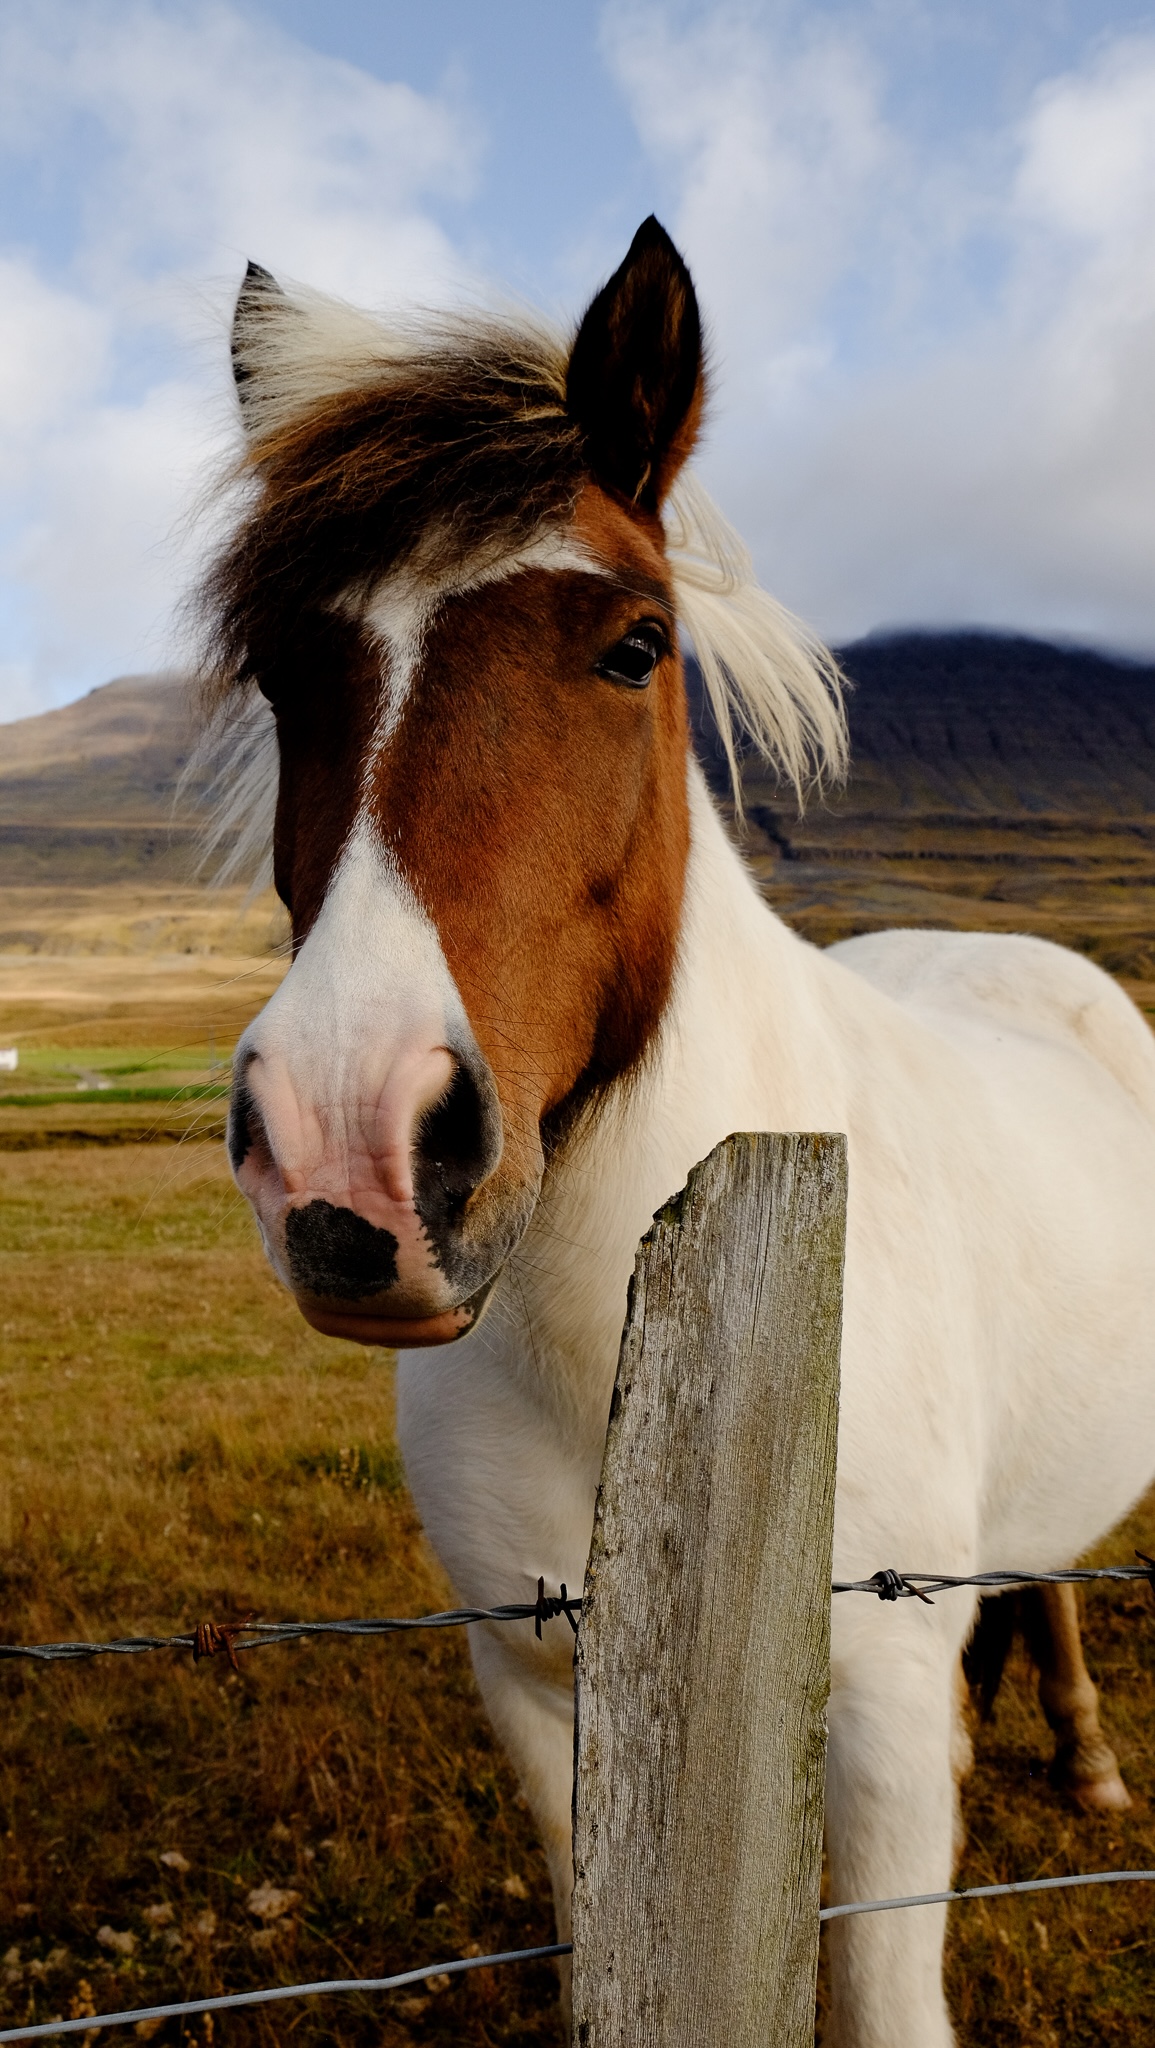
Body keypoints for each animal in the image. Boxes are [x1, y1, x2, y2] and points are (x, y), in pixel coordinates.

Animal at [196, 219, 1155, 2047]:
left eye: (633, 644)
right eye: (287, 673)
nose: (351, 1156)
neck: (627, 1349)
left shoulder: (873, 1702)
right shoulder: (529, 1680)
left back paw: (1080, 1757)